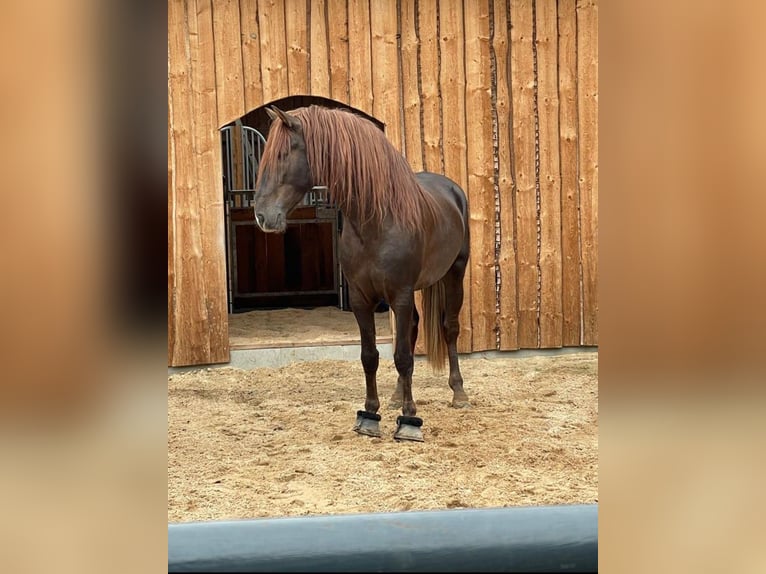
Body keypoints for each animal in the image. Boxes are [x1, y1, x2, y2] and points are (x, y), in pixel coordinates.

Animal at [253, 104, 470, 442]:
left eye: (283, 154)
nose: (262, 216)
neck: (376, 221)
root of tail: (452, 190)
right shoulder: (360, 298)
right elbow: (371, 356)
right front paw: (371, 415)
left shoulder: (400, 295)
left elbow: (403, 357)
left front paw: (409, 421)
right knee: (412, 330)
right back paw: (397, 395)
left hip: (454, 273)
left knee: (449, 328)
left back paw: (458, 394)